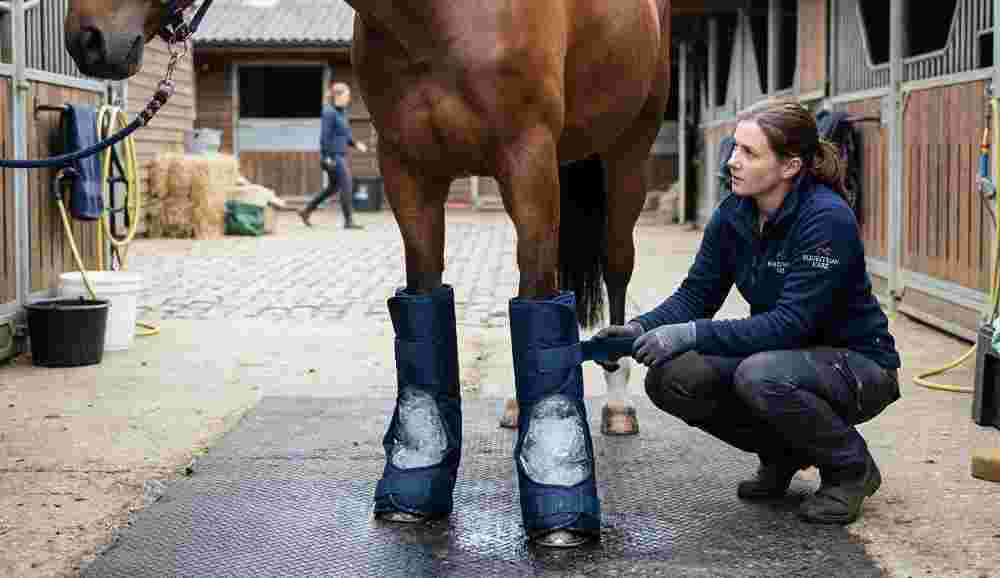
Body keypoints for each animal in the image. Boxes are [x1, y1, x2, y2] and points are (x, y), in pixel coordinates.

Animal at [65, 0, 672, 547]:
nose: (87, 38)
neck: (442, 18)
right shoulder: (409, 172)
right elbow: (428, 307)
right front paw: (415, 490)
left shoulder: (528, 162)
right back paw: (518, 406)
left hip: (625, 154)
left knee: (613, 266)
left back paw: (617, 402)